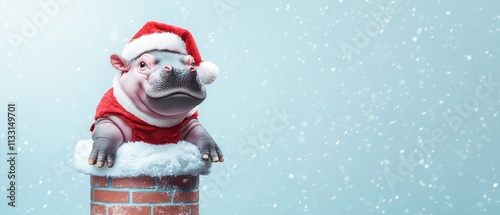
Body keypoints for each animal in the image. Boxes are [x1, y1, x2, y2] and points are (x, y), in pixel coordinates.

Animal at [87, 22, 224, 170]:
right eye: (142, 64)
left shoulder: (189, 121)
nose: (181, 71)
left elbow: (200, 131)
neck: (157, 122)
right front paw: (100, 159)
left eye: (192, 63)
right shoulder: (110, 113)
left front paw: (213, 152)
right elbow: (107, 131)